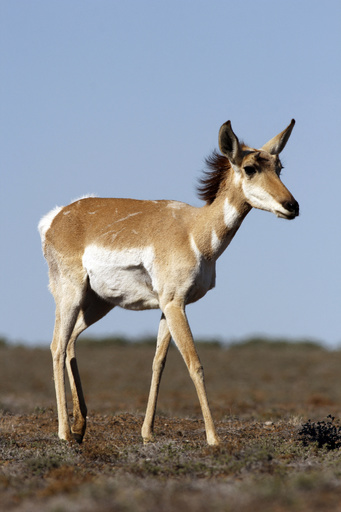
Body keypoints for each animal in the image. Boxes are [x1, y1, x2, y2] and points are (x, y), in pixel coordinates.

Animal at [37, 119, 298, 444]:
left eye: (279, 166)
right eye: (250, 168)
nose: (292, 205)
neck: (195, 231)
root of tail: (58, 216)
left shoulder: (166, 305)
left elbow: (159, 362)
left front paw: (147, 433)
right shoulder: (175, 303)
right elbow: (194, 363)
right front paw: (214, 438)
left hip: (98, 304)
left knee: (71, 341)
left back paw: (80, 426)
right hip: (71, 295)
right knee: (57, 346)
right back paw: (64, 432)